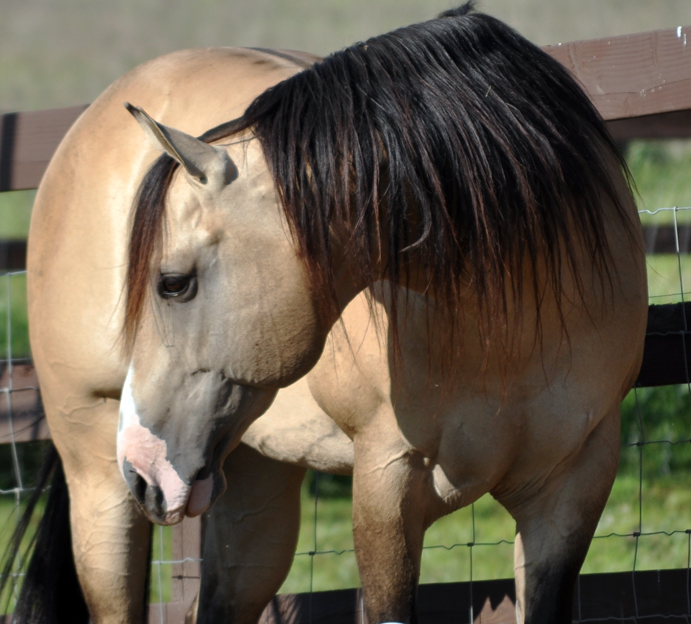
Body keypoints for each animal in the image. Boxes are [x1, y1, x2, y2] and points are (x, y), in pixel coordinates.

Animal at [1, 3, 647, 623]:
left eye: (172, 284)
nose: (142, 465)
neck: (505, 325)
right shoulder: (387, 483)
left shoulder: (572, 491)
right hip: (97, 480)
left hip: (251, 475)